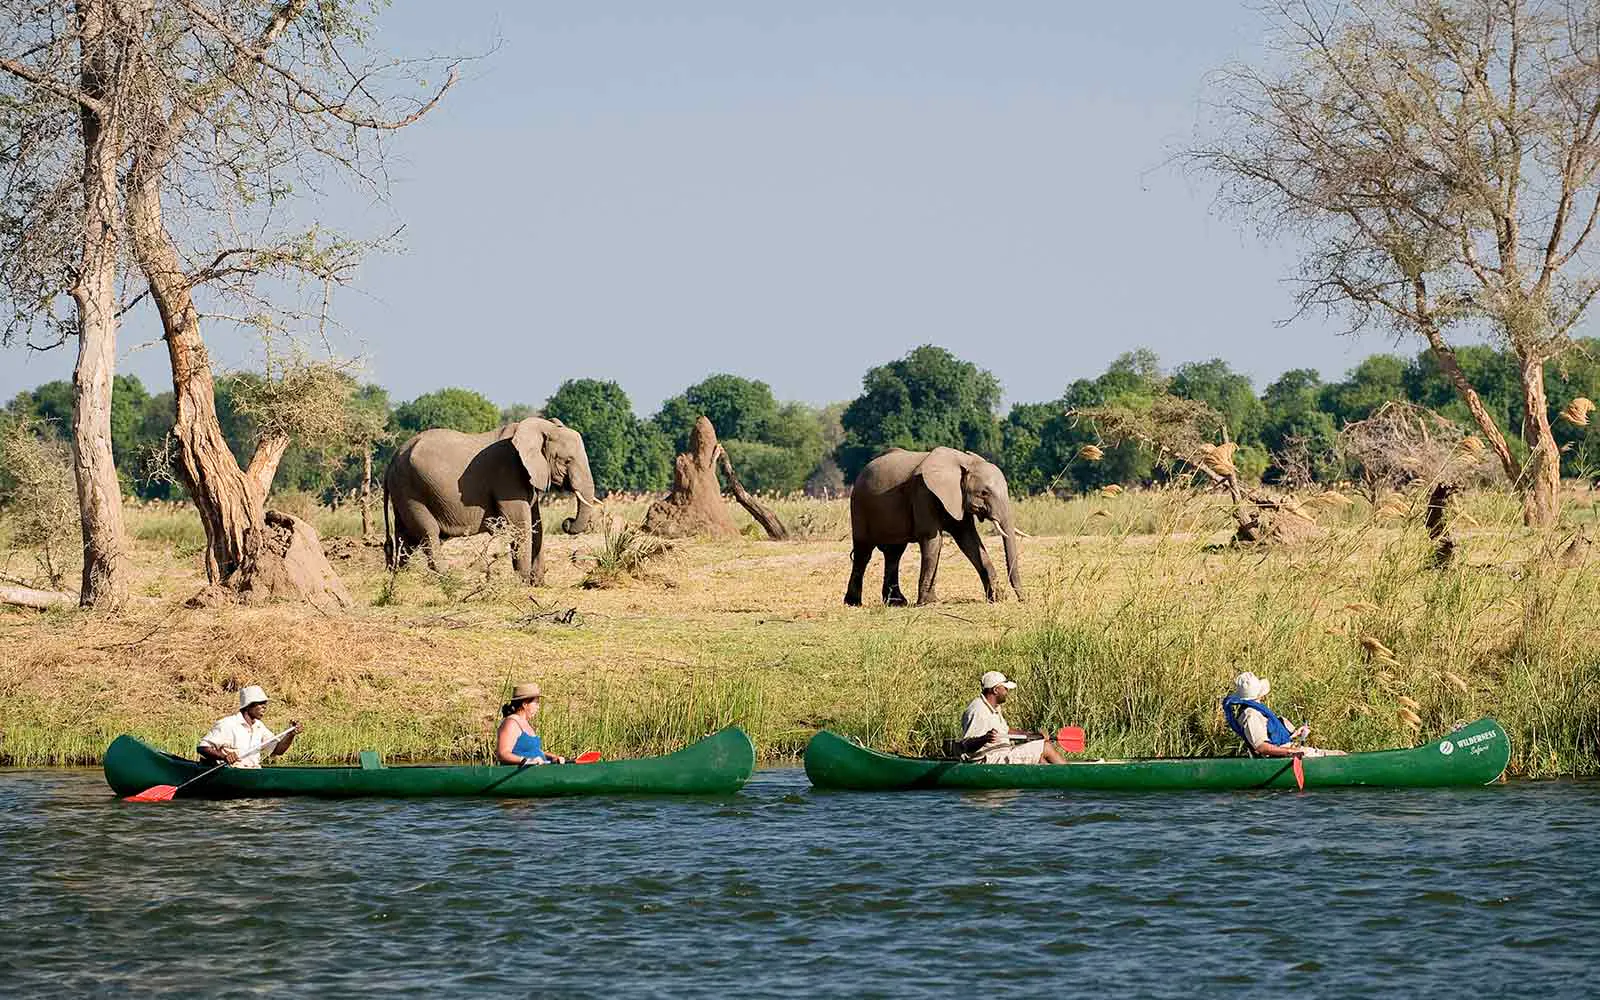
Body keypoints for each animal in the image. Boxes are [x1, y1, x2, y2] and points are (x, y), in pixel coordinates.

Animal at [383, 417, 596, 585]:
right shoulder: (508, 473)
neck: (541, 427)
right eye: (567, 461)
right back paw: (448, 578)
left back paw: (401, 577)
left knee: (406, 536)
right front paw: (523, 583)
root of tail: (392, 458)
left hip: (403, 490)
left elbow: (537, 523)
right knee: (428, 532)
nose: (567, 522)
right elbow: (520, 523)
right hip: (411, 489)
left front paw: (538, 583)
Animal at [844, 447, 1022, 606]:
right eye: (984, 493)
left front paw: (998, 598)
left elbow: (969, 540)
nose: (1022, 599)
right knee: (863, 552)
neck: (964, 461)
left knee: (894, 553)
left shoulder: (957, 501)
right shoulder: (923, 493)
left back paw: (896, 602)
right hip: (858, 506)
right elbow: (932, 539)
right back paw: (853, 603)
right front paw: (929, 603)